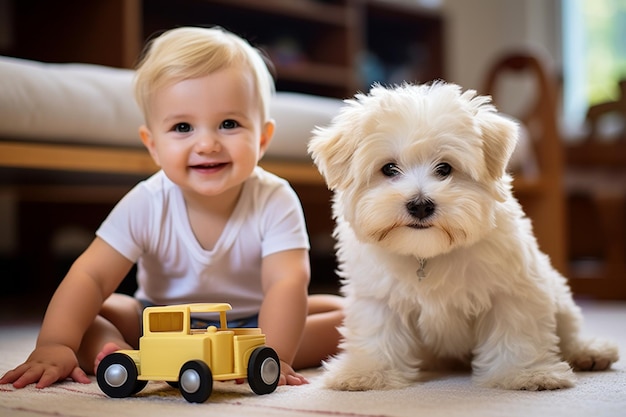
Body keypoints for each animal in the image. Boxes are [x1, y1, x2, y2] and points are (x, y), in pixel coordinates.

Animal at [304, 82, 616, 390]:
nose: (420, 205)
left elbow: (517, 332)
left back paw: (590, 352)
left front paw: (526, 373)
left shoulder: (513, 289)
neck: (428, 253)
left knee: (569, 329)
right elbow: (378, 333)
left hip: (559, 294)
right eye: (389, 168)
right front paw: (367, 373)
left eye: (444, 168)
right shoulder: (378, 298)